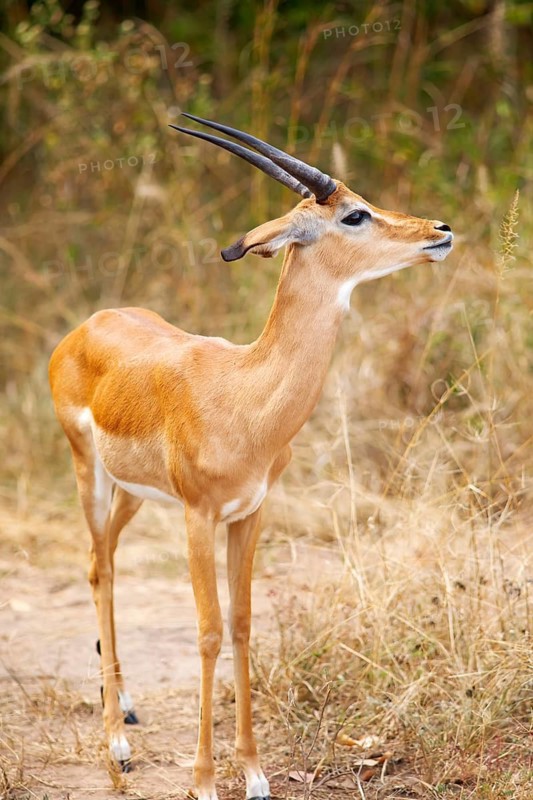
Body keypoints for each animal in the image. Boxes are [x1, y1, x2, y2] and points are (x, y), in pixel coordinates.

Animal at [49, 113, 453, 800]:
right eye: (355, 215)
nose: (440, 231)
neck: (244, 394)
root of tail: (85, 326)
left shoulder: (250, 512)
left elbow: (240, 624)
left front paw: (257, 774)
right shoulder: (199, 516)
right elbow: (209, 632)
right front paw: (206, 781)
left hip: (133, 493)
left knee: (106, 563)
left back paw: (125, 708)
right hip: (90, 476)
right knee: (100, 570)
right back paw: (117, 747)